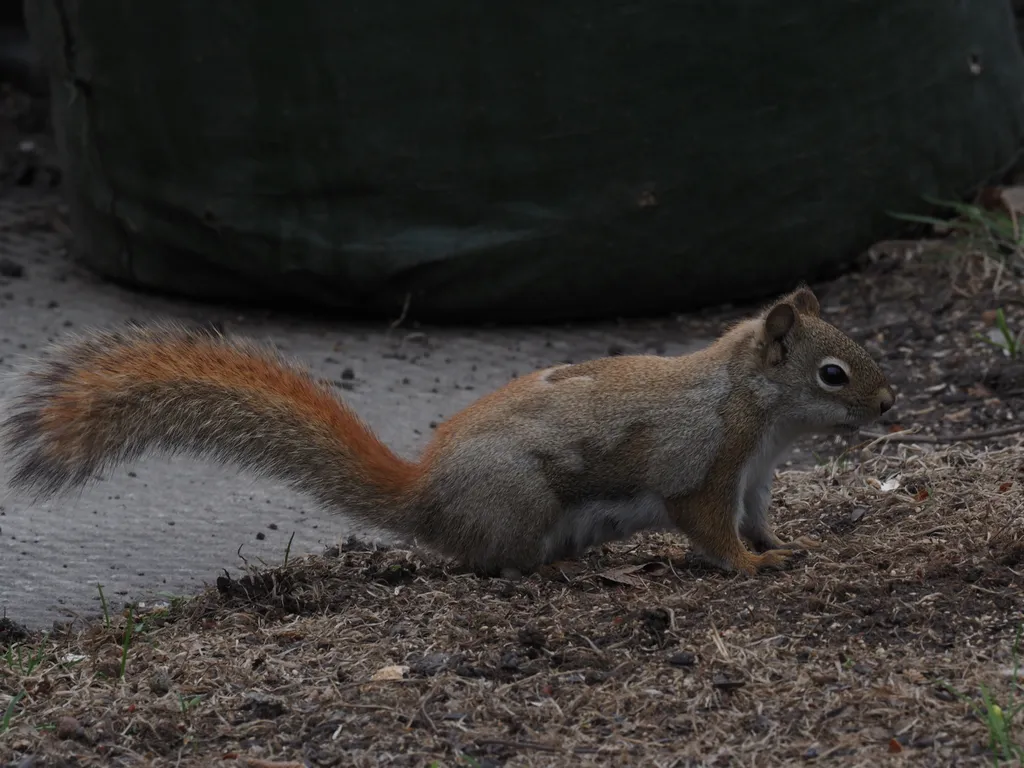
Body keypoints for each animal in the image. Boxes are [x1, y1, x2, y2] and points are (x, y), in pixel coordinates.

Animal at [0, 286, 894, 579]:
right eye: (833, 374)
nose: (888, 405)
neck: (753, 405)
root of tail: (426, 499)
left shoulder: (756, 475)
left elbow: (759, 518)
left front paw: (783, 547)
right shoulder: (705, 463)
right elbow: (708, 527)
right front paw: (749, 567)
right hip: (522, 504)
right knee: (495, 563)